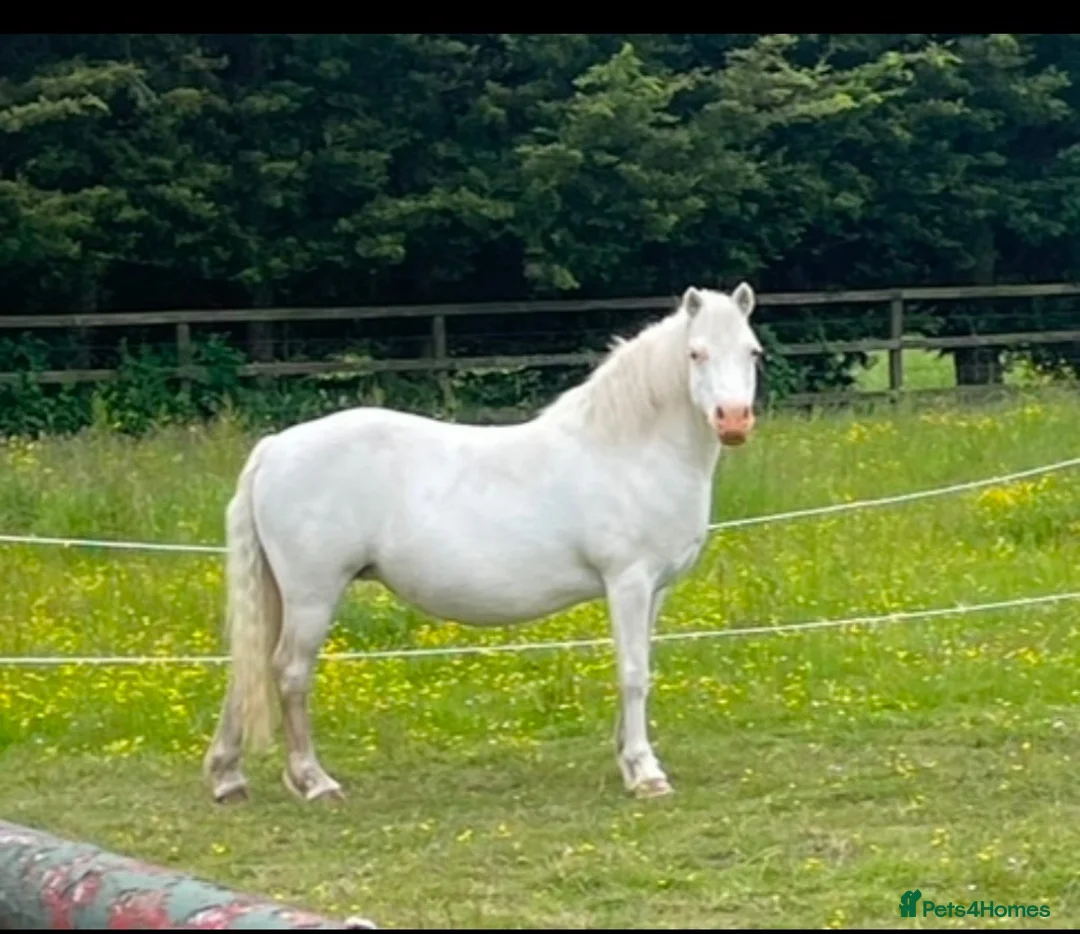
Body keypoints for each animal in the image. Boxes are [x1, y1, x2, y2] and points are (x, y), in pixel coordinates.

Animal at [202, 282, 764, 804]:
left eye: (753, 351)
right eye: (695, 353)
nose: (734, 420)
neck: (627, 450)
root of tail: (275, 447)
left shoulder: (655, 590)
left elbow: (641, 663)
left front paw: (628, 759)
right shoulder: (628, 582)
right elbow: (632, 672)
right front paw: (646, 774)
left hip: (280, 594)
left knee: (249, 668)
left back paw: (229, 779)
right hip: (312, 595)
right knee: (290, 672)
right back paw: (315, 782)